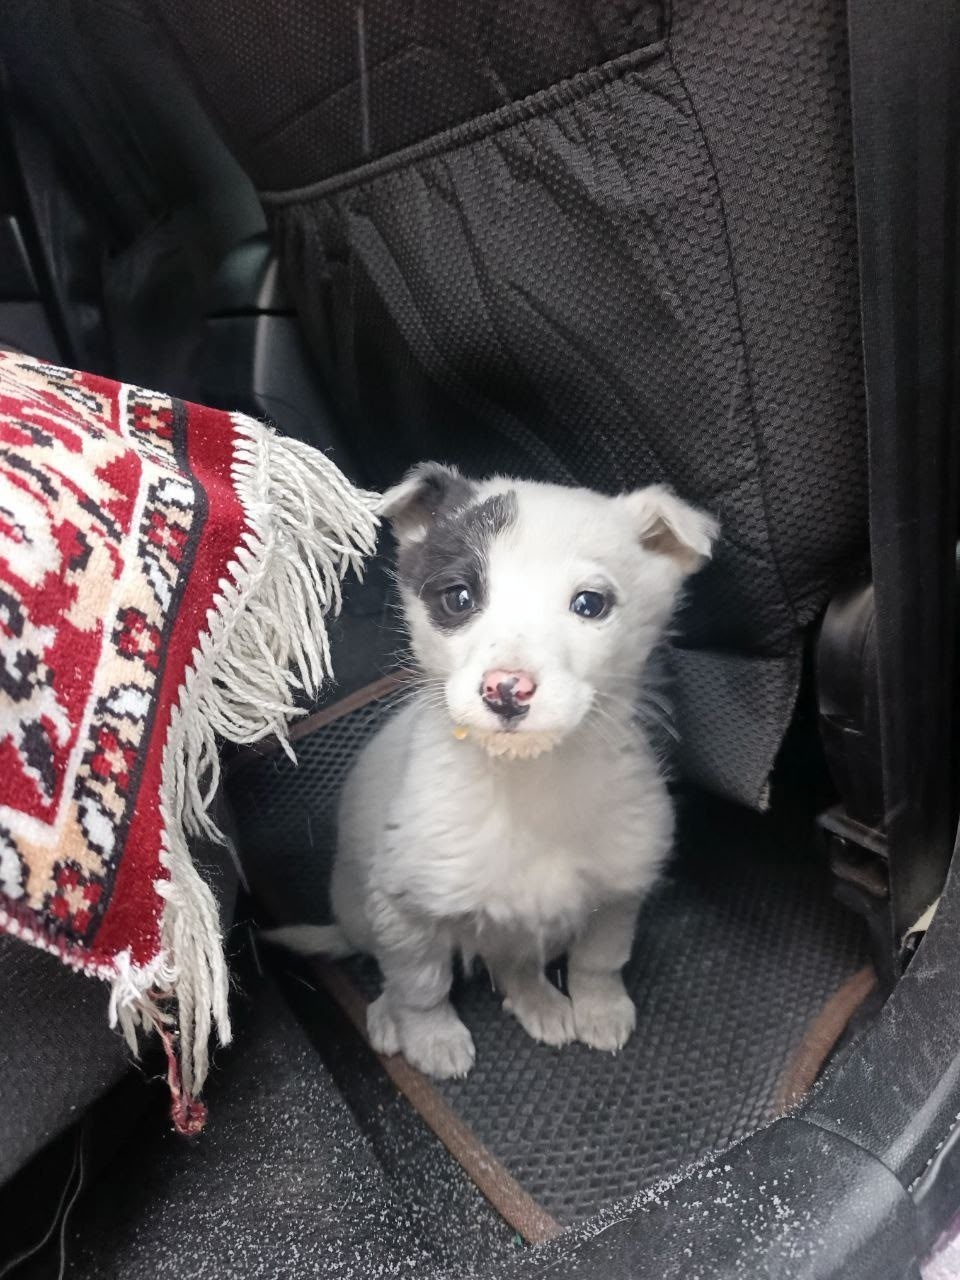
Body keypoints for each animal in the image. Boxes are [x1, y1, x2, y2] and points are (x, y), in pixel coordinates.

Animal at [268, 464, 717, 1079]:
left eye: (590, 605)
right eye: (458, 598)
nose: (506, 690)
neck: (525, 781)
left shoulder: (618, 890)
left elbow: (600, 960)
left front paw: (600, 1009)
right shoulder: (402, 908)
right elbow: (420, 985)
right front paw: (431, 1038)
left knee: (513, 962)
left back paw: (540, 1002)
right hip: (358, 906)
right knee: (386, 965)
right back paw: (388, 1015)